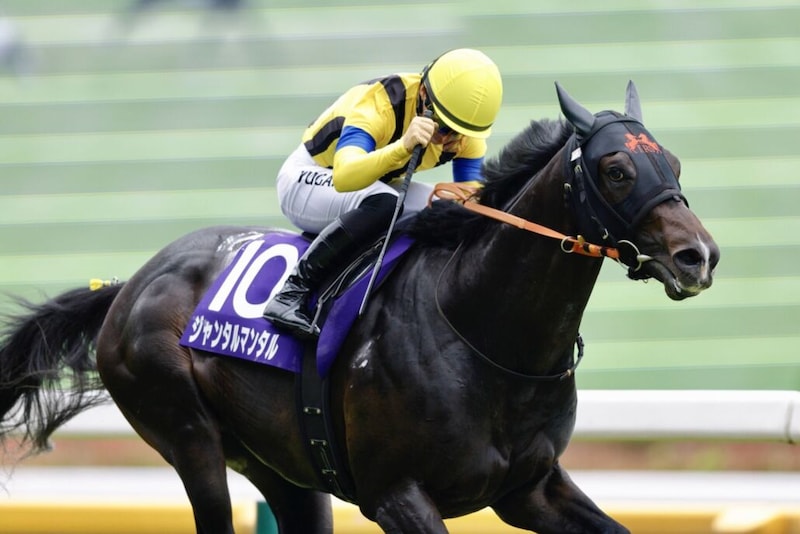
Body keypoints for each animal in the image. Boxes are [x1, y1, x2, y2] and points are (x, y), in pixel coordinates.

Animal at [0, 82, 719, 533]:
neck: (482, 333)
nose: (699, 257)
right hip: (188, 436)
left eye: (676, 163)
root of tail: (129, 287)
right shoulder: (395, 495)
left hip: (283, 470)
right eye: (616, 170)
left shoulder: (529, 489)